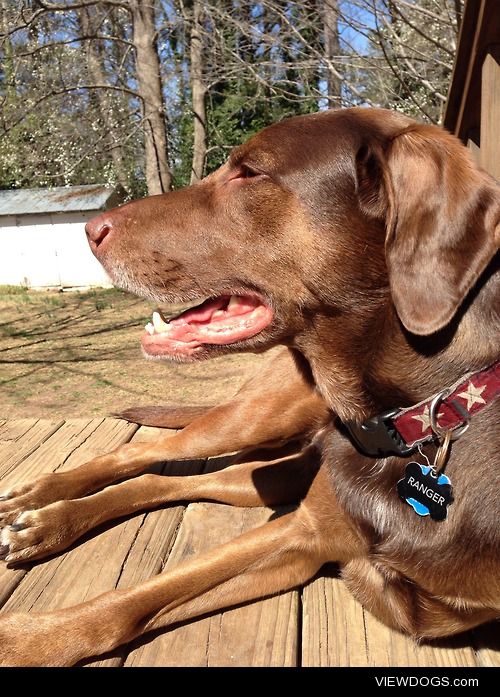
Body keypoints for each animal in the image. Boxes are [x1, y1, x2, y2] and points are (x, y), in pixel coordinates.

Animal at [0, 107, 500, 664]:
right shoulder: (302, 530)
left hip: (274, 473)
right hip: (255, 420)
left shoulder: (301, 548)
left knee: (176, 482)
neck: (414, 423)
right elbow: (134, 597)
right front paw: (26, 639)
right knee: (141, 456)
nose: (90, 229)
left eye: (249, 173)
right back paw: (40, 506)